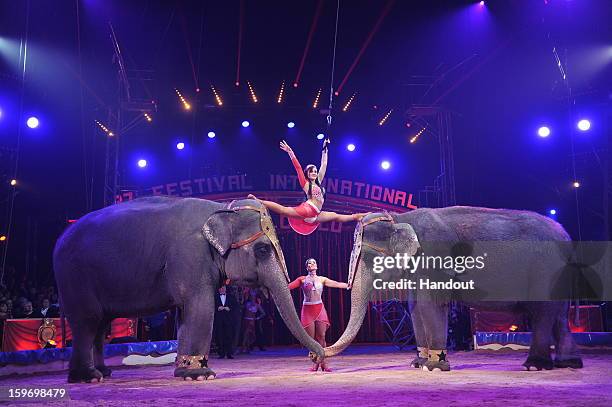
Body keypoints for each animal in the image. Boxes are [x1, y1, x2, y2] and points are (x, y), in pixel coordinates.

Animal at [53, 197, 326, 382]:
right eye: (262, 250)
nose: (318, 357)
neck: (222, 209)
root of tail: (60, 238)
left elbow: (186, 314)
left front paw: (186, 369)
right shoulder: (190, 255)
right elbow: (200, 306)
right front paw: (200, 374)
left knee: (101, 325)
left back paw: (104, 372)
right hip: (75, 277)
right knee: (87, 321)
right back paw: (88, 377)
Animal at [322, 207, 580, 372]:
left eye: (369, 258)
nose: (317, 356)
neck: (401, 218)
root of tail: (567, 236)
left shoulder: (435, 253)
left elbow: (430, 304)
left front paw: (434, 367)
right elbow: (414, 307)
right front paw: (418, 364)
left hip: (545, 267)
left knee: (543, 312)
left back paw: (535, 365)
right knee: (559, 315)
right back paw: (568, 364)